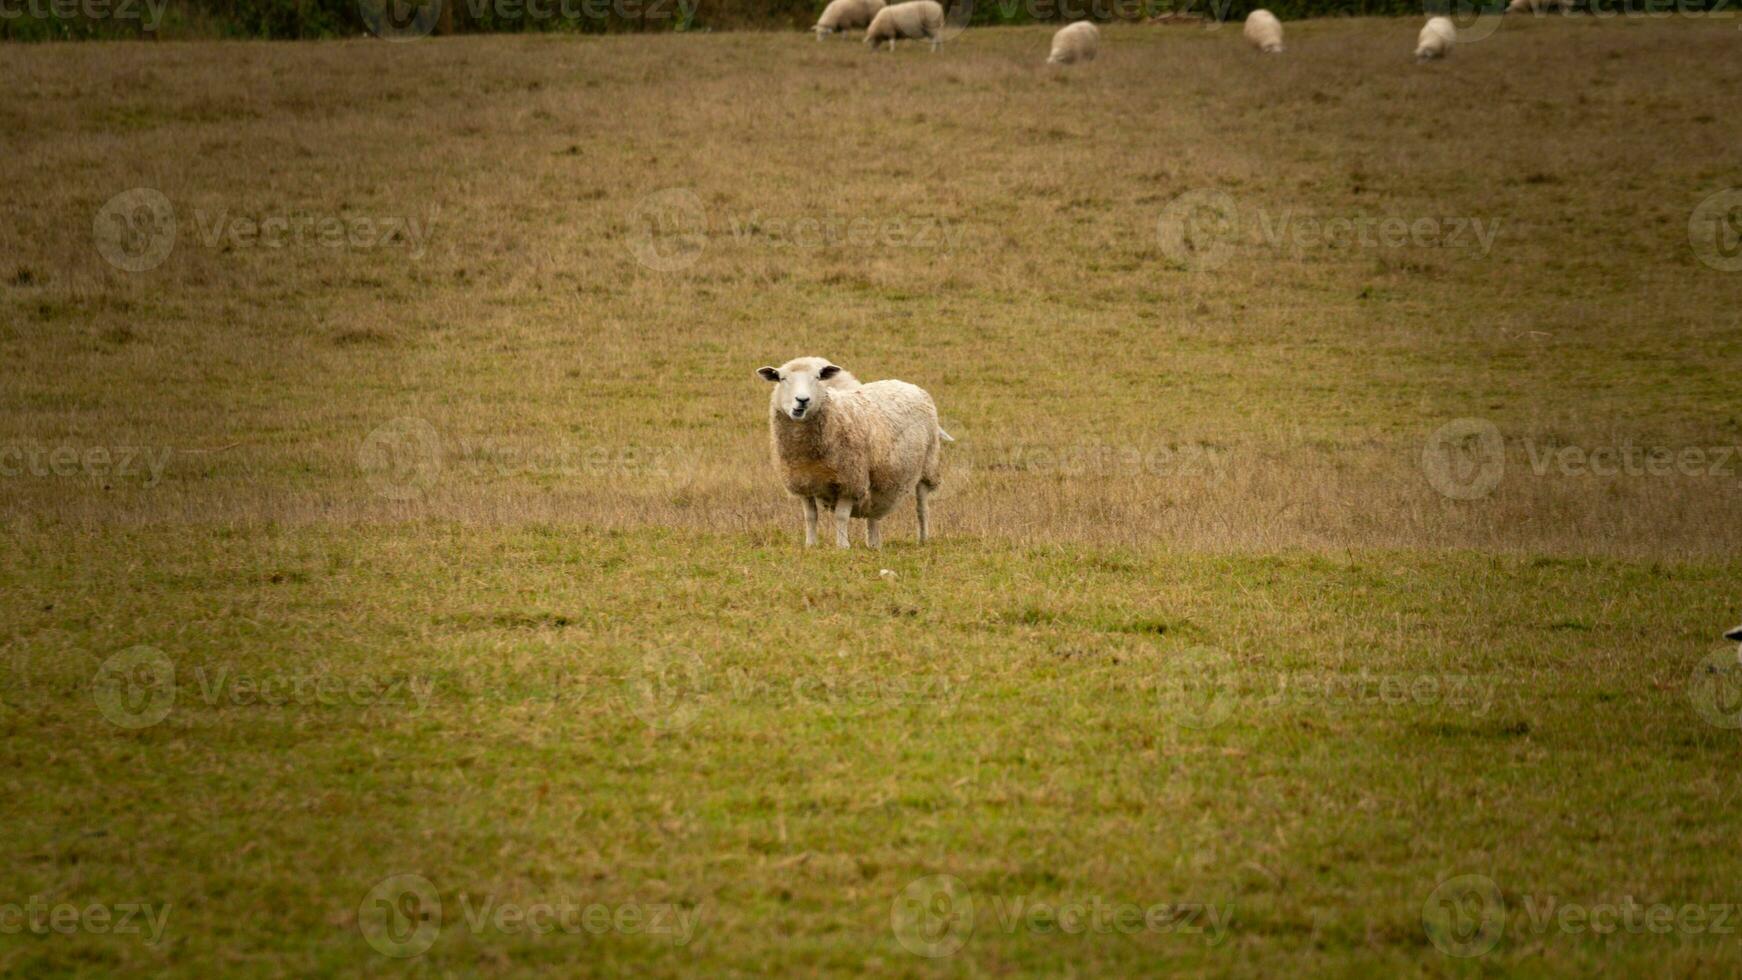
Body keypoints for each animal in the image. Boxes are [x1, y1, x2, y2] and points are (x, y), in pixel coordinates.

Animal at [756, 356, 954, 550]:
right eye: (782, 378)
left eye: (817, 378)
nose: (802, 400)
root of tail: (910, 386)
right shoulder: (803, 483)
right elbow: (810, 517)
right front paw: (810, 545)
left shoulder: (850, 481)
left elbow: (841, 516)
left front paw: (842, 546)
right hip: (879, 478)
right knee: (873, 511)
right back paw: (874, 544)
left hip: (928, 466)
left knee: (922, 508)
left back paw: (923, 539)